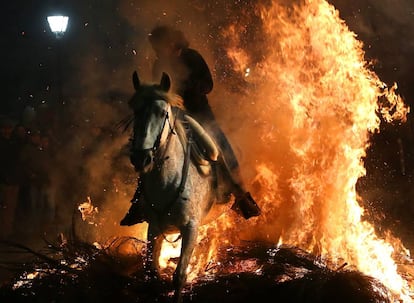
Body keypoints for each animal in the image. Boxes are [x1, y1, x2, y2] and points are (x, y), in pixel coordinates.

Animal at [124, 70, 231, 302]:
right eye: (135, 110)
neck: (167, 182)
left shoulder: (191, 228)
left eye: (162, 112)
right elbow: (152, 270)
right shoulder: (154, 228)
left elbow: (179, 276)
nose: (141, 158)